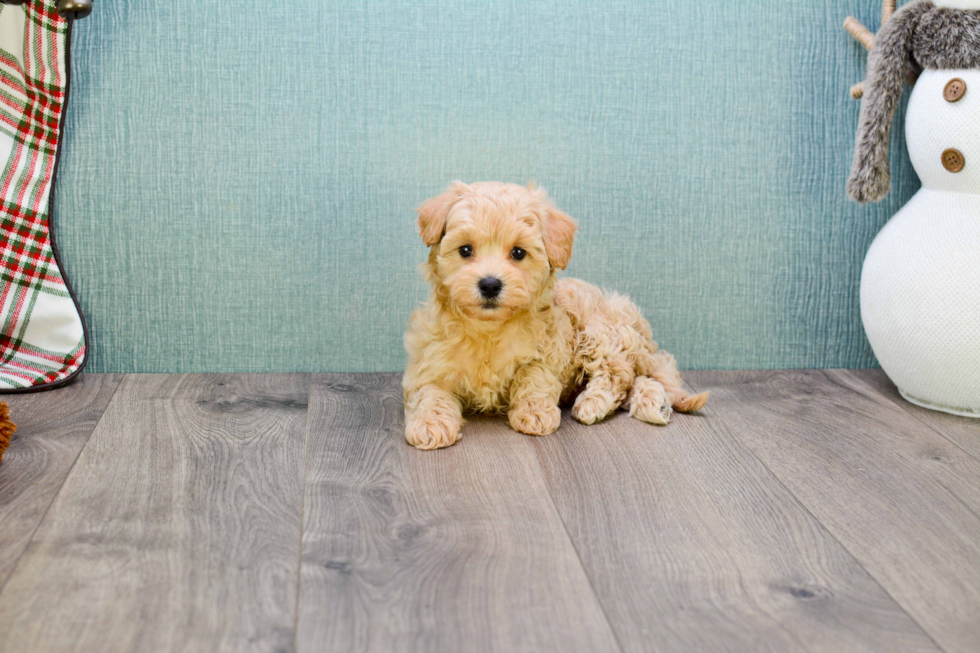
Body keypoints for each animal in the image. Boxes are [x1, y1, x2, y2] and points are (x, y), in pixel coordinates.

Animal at [402, 181, 708, 450]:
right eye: (465, 249)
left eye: (518, 252)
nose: (489, 284)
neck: (489, 330)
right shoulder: (429, 359)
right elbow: (429, 392)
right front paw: (430, 424)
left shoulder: (548, 349)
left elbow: (534, 378)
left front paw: (535, 413)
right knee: (638, 379)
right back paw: (655, 403)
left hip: (599, 330)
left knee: (619, 374)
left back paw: (593, 402)